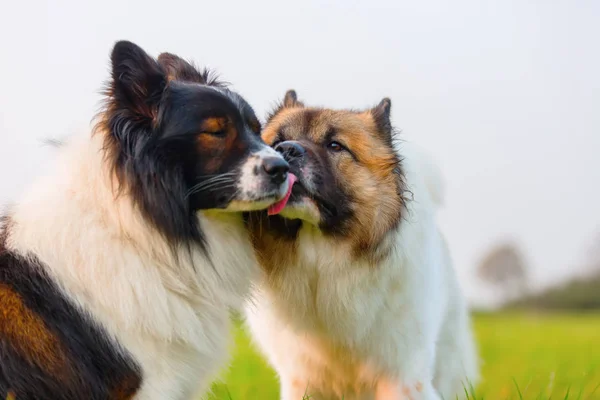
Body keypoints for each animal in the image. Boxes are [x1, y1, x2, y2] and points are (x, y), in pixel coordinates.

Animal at [244, 90, 478, 400]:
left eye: (335, 146)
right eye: (273, 144)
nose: (287, 151)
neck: (323, 260)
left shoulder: (401, 374)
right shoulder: (302, 377)